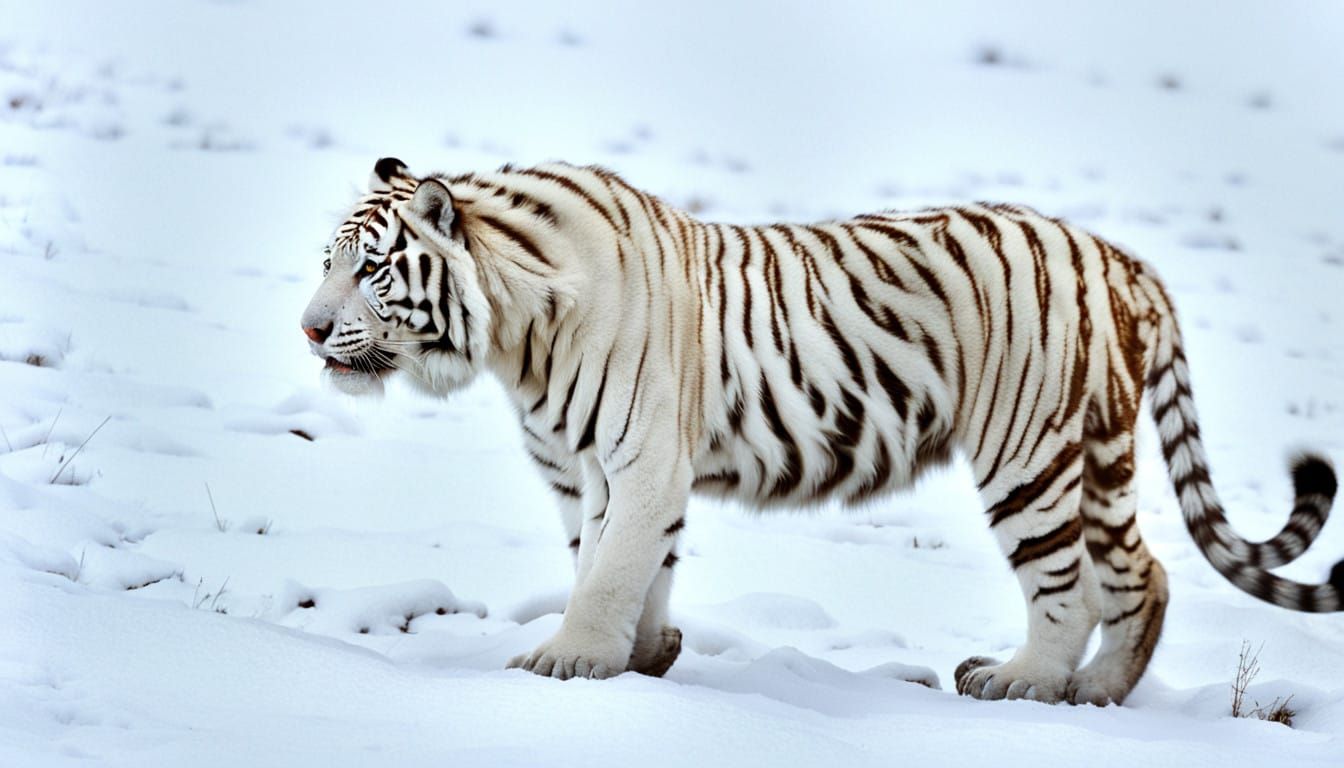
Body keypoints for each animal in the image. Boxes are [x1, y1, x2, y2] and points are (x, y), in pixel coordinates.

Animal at [300, 157, 1342, 705]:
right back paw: (1099, 695)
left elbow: (608, 568)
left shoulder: (641, 457)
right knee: (1144, 574)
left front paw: (570, 662)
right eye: (325, 263)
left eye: (371, 270)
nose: (309, 330)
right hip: (1100, 455)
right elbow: (623, 559)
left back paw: (1022, 683)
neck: (518, 335)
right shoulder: (587, 471)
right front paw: (646, 655)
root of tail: (1124, 259)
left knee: (1069, 589)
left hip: (1030, 454)